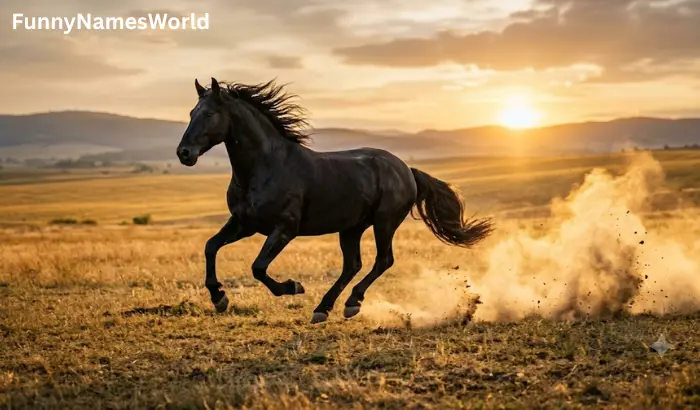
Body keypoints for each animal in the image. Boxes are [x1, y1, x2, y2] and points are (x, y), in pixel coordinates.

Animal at [176, 77, 494, 324]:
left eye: (208, 114)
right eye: (191, 111)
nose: (184, 153)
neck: (265, 167)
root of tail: (407, 170)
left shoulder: (285, 229)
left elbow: (258, 267)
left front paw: (293, 287)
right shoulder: (244, 224)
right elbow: (211, 247)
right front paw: (219, 297)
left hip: (384, 223)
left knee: (383, 260)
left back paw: (351, 304)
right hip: (351, 228)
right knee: (352, 265)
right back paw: (324, 309)